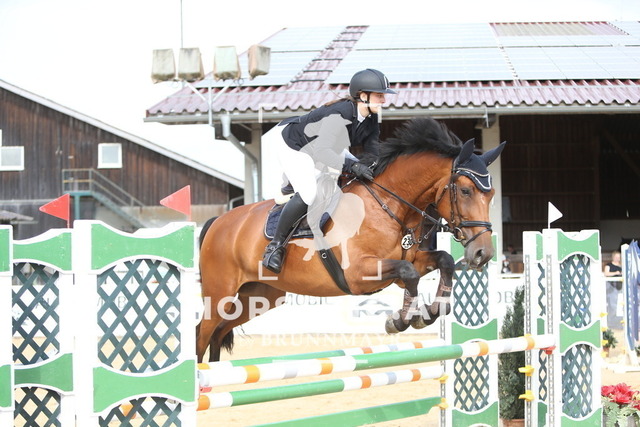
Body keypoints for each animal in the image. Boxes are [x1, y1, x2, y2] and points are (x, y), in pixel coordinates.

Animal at [197, 117, 505, 362]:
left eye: (490, 194)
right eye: (465, 191)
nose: (483, 254)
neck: (389, 205)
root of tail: (218, 222)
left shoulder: (405, 263)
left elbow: (444, 260)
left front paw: (430, 311)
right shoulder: (358, 274)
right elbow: (409, 273)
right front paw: (400, 321)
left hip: (258, 296)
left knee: (219, 332)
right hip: (220, 294)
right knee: (201, 333)